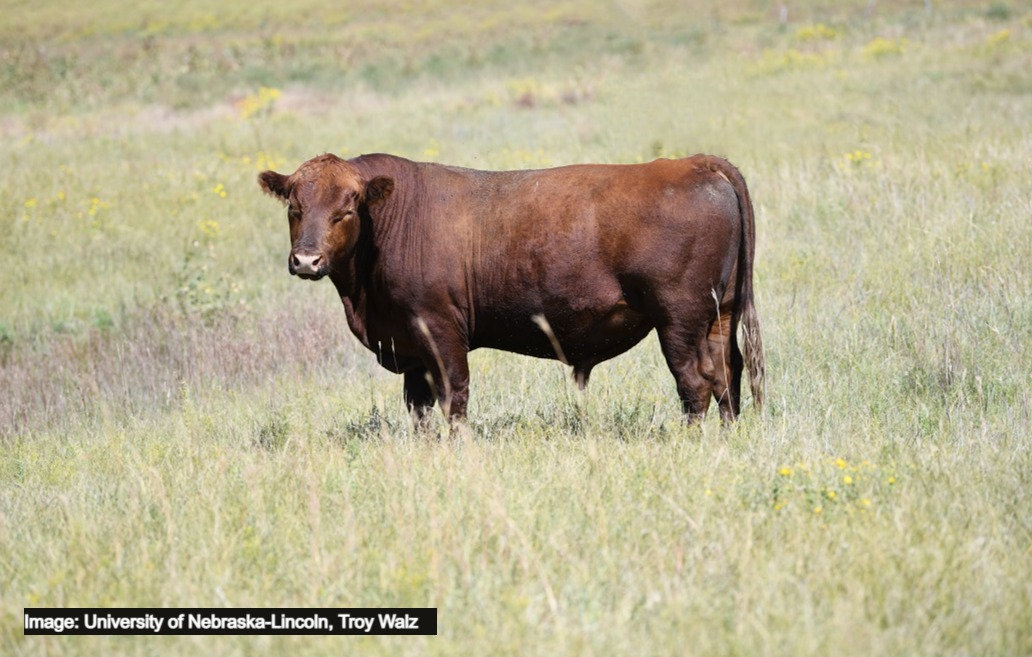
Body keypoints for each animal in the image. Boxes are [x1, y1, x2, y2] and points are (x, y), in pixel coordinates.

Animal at [258, 152, 764, 427]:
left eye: (346, 209)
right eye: (295, 208)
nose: (306, 260)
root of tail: (693, 163)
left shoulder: (440, 330)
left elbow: (455, 399)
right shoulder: (412, 348)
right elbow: (419, 408)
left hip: (678, 319)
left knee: (695, 382)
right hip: (721, 314)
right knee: (727, 375)